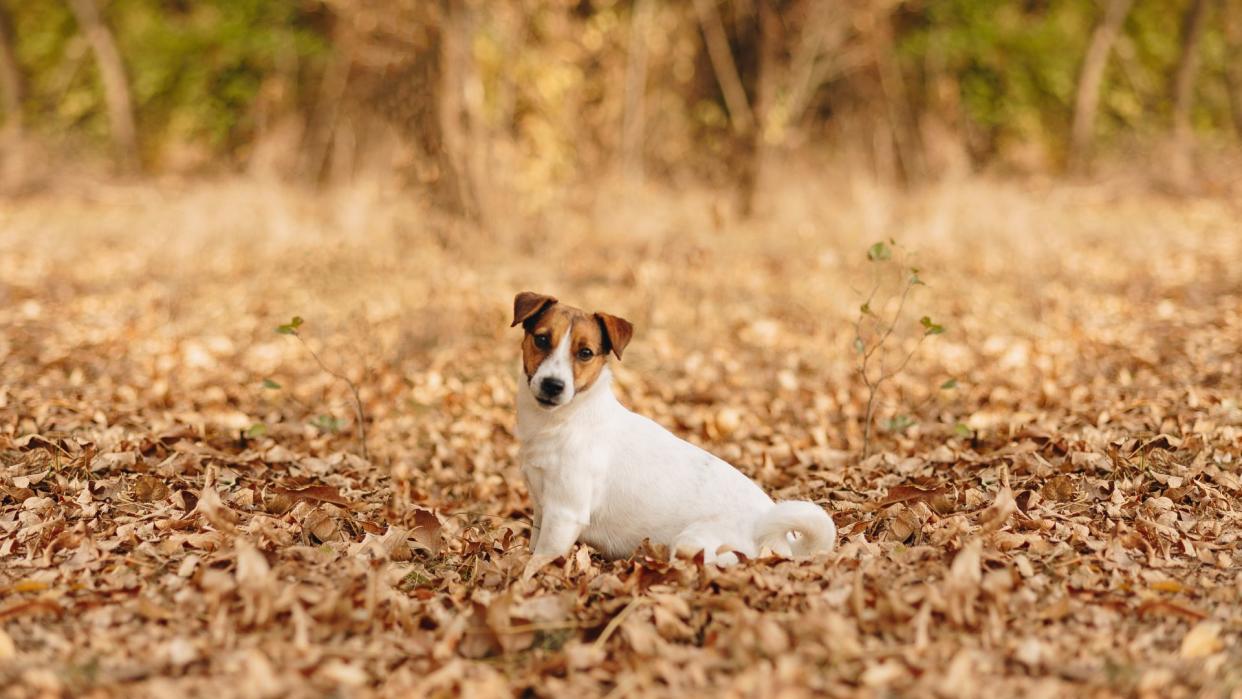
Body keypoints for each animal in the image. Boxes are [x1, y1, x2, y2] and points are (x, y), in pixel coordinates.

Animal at [509, 290, 839, 573]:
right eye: (541, 339)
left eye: (586, 353)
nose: (553, 385)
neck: (563, 420)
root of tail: (775, 538)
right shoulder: (543, 509)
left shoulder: (564, 515)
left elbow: (537, 563)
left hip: (692, 543)